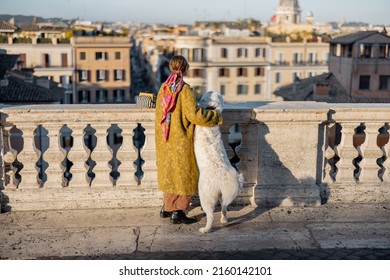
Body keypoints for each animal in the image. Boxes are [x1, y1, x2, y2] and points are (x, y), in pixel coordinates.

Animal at [195, 91, 244, 233]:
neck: (211, 108)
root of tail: (223, 178)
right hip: (224, 195)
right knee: (224, 207)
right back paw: (224, 219)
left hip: (206, 196)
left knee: (210, 215)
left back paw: (205, 229)